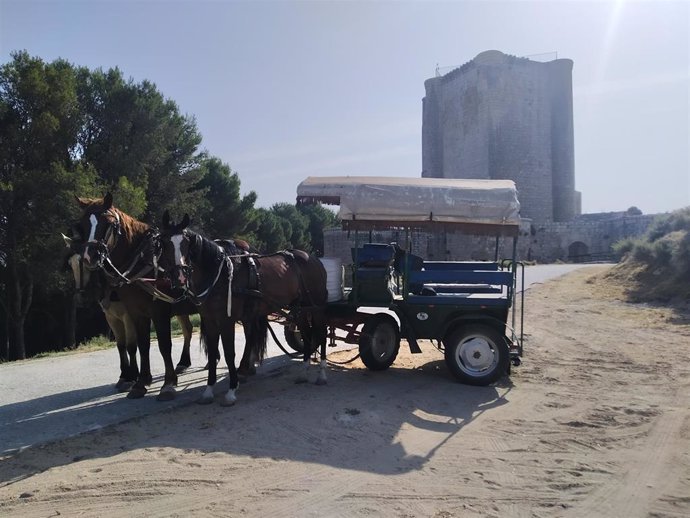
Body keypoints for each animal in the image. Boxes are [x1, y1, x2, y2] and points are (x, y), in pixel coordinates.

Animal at [158, 211, 328, 406]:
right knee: (307, 333)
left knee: (321, 333)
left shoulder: (226, 320)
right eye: (164, 242)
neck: (221, 273)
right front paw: (208, 390)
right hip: (299, 307)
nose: (179, 277)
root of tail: (314, 259)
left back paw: (322, 373)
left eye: (186, 243)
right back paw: (304, 369)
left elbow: (229, 353)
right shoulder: (210, 320)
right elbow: (213, 353)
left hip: (316, 306)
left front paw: (231, 390)